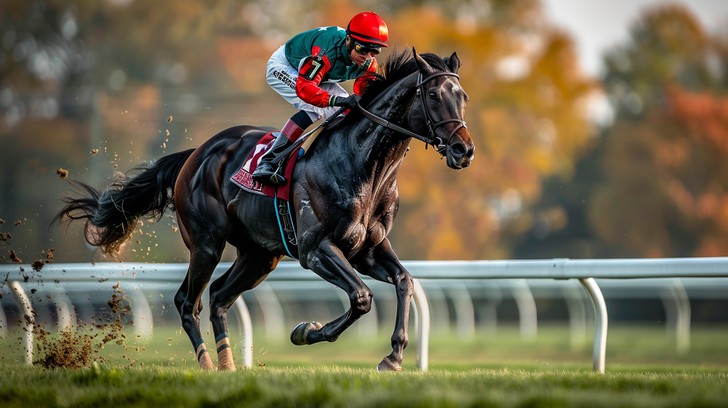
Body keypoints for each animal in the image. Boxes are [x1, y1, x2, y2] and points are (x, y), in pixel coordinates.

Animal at [55, 49, 474, 371]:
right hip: (206, 243)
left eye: (463, 96)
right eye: (433, 96)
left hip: (259, 255)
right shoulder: (315, 250)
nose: (463, 149)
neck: (361, 165)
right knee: (188, 301)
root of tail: (195, 154)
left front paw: (394, 356)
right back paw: (207, 364)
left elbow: (405, 281)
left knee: (220, 296)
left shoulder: (368, 249)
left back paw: (228, 364)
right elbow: (361, 297)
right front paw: (306, 331)